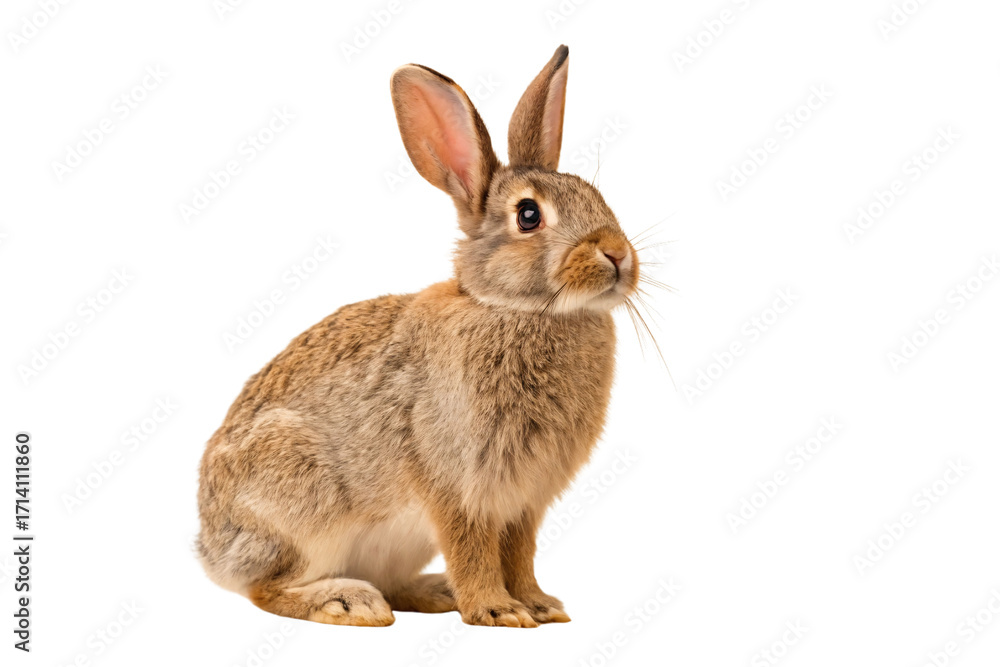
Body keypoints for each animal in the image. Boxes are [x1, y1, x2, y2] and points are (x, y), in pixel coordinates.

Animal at [196, 44, 640, 628]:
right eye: (528, 215)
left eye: (598, 196)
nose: (617, 253)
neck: (513, 308)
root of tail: (208, 548)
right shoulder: (456, 483)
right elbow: (472, 549)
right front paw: (498, 611)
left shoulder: (523, 502)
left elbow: (519, 553)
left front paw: (540, 605)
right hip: (301, 503)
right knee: (266, 588)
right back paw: (348, 601)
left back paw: (432, 593)